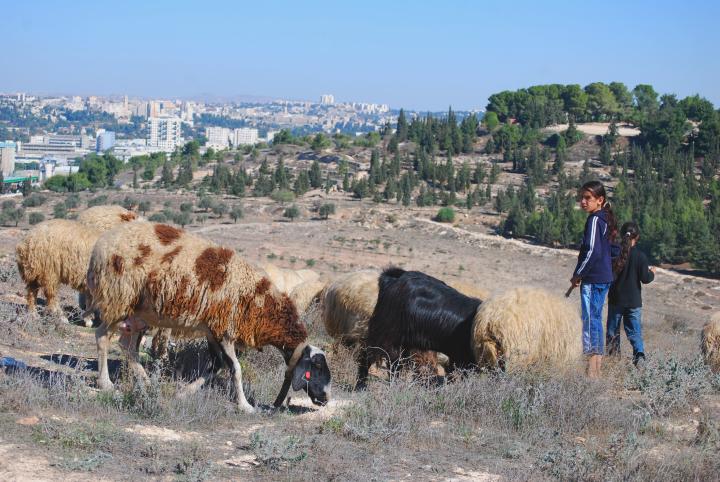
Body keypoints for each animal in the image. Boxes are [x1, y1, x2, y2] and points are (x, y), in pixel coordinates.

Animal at [87, 220, 332, 412]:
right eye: (317, 367)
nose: (326, 399)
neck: (259, 301)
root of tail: (100, 246)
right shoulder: (225, 330)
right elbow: (235, 369)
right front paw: (245, 406)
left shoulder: (214, 330)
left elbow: (216, 365)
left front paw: (184, 393)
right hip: (118, 298)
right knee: (102, 337)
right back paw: (106, 383)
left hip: (139, 313)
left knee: (127, 346)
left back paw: (147, 384)